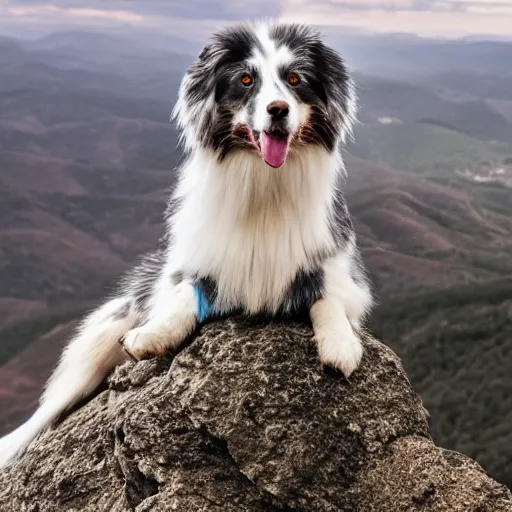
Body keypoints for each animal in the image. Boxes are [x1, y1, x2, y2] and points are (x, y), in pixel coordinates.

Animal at [0, 20, 372, 468]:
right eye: (245, 80)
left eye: (295, 79)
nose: (278, 109)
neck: (264, 188)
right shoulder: (194, 265)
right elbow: (182, 298)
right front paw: (151, 336)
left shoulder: (340, 269)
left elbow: (329, 298)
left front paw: (340, 344)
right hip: (103, 333)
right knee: (53, 404)